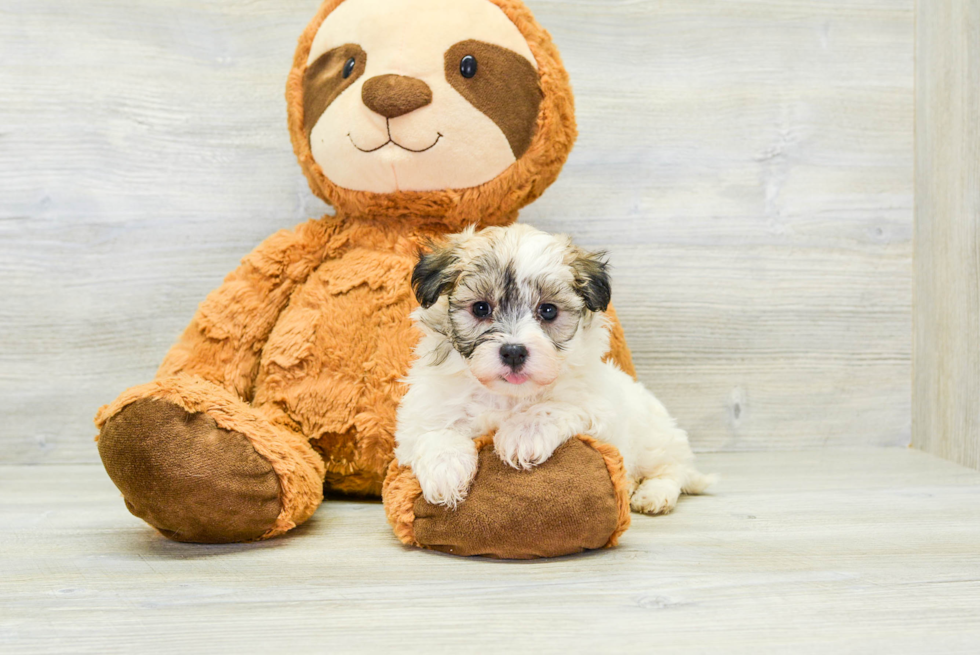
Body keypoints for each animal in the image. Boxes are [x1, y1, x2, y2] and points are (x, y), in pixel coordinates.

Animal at [394, 223, 716, 516]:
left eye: (548, 310)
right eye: (481, 308)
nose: (513, 351)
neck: (508, 397)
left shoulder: (599, 409)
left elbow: (556, 406)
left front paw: (522, 433)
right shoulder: (423, 414)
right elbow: (434, 432)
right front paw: (445, 470)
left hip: (654, 438)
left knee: (672, 470)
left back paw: (653, 494)